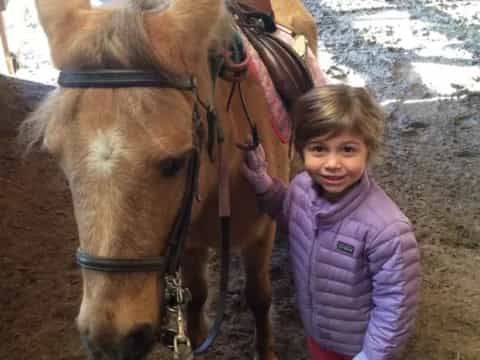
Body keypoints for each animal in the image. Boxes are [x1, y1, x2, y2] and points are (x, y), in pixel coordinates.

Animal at [19, 1, 318, 358]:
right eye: (58, 157)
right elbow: (196, 299)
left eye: (175, 163)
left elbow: (260, 298)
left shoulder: (261, 235)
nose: (111, 340)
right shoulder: (186, 242)